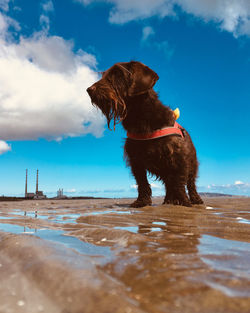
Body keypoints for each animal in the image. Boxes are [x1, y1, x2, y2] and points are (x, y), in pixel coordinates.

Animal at [86, 61, 203, 207]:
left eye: (118, 74)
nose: (89, 90)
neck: (141, 118)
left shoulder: (178, 157)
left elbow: (179, 181)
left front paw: (183, 201)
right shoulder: (136, 160)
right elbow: (142, 182)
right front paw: (142, 201)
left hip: (192, 164)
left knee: (190, 183)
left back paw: (194, 199)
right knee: (169, 184)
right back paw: (168, 200)